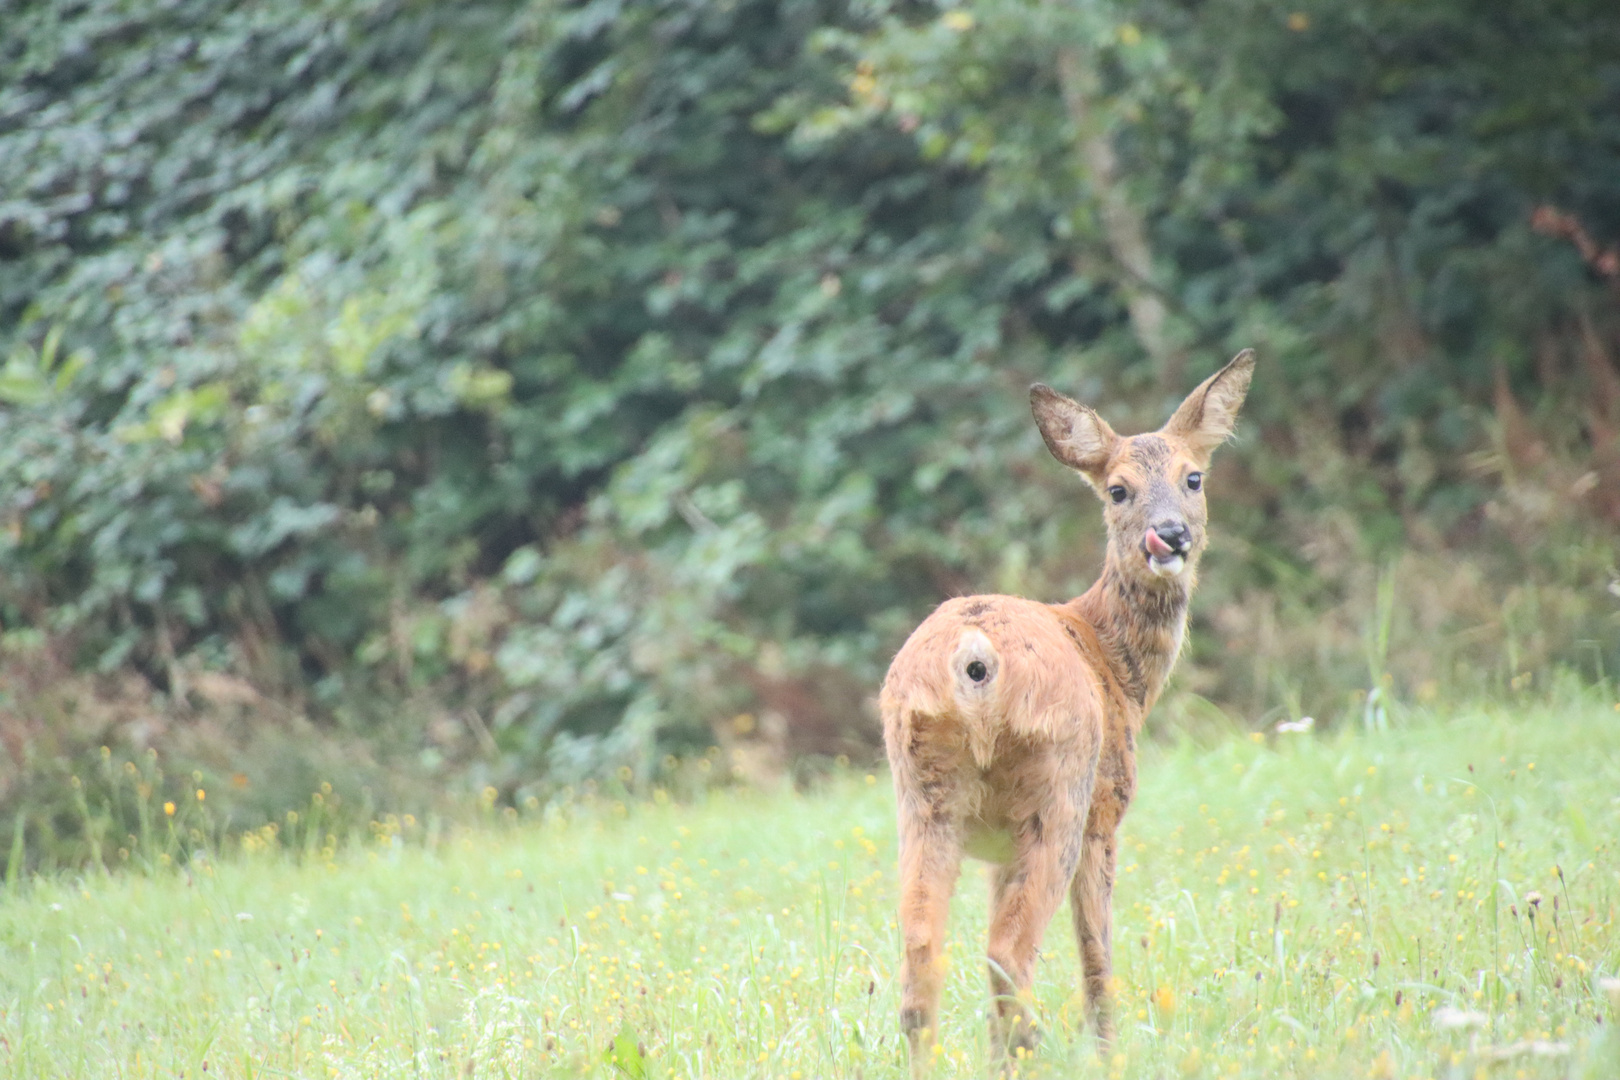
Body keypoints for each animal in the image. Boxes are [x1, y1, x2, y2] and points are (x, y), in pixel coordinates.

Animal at [887, 348, 1250, 1075]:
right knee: (1007, 953)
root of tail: (974, 656)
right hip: (1058, 787)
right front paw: (1109, 1051)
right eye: (1117, 489)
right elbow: (1096, 956)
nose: (1169, 537)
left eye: (1193, 477)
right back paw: (1027, 1050)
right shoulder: (1106, 813)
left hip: (922, 794)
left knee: (922, 951)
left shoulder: (996, 850)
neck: (1118, 667)